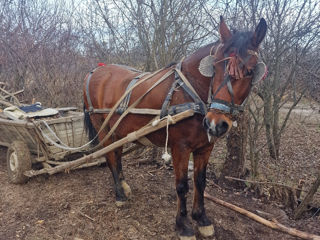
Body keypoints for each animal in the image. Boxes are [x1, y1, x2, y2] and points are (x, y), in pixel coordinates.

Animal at [83, 15, 268, 239]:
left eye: (250, 72)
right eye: (215, 68)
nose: (215, 123)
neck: (191, 92)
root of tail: (95, 70)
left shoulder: (206, 146)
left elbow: (200, 181)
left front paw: (201, 219)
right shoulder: (180, 147)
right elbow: (181, 186)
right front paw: (183, 225)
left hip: (117, 129)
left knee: (116, 154)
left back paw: (124, 185)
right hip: (101, 127)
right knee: (110, 156)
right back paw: (119, 195)